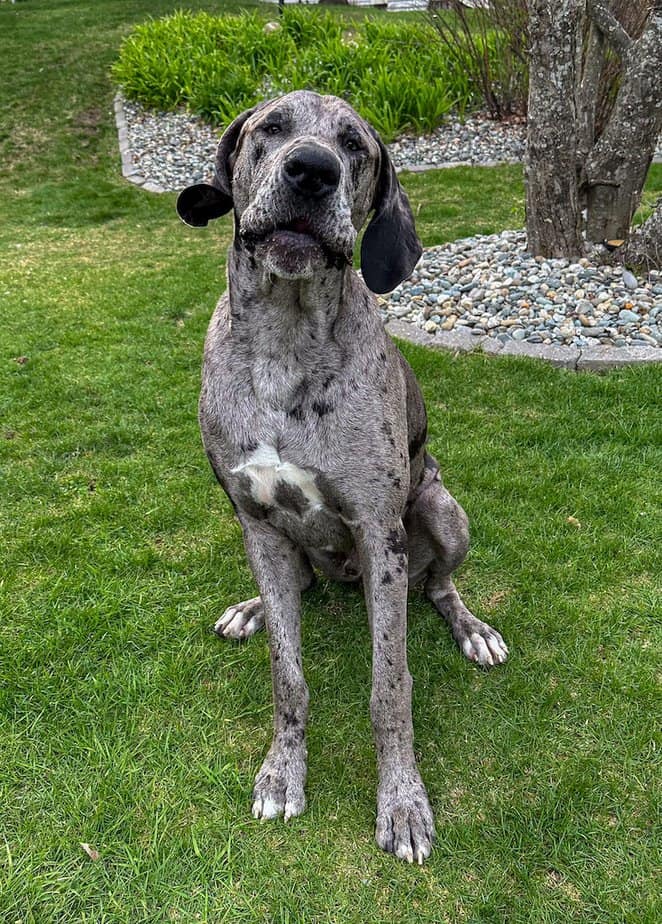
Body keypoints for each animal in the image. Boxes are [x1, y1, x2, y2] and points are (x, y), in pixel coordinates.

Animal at [176, 90, 508, 864]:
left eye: (354, 146)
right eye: (270, 128)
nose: (311, 170)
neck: (285, 344)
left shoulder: (380, 534)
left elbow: (390, 688)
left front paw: (403, 803)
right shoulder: (259, 522)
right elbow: (287, 676)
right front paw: (282, 771)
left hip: (441, 510)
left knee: (438, 585)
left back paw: (471, 627)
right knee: (297, 587)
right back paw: (252, 608)